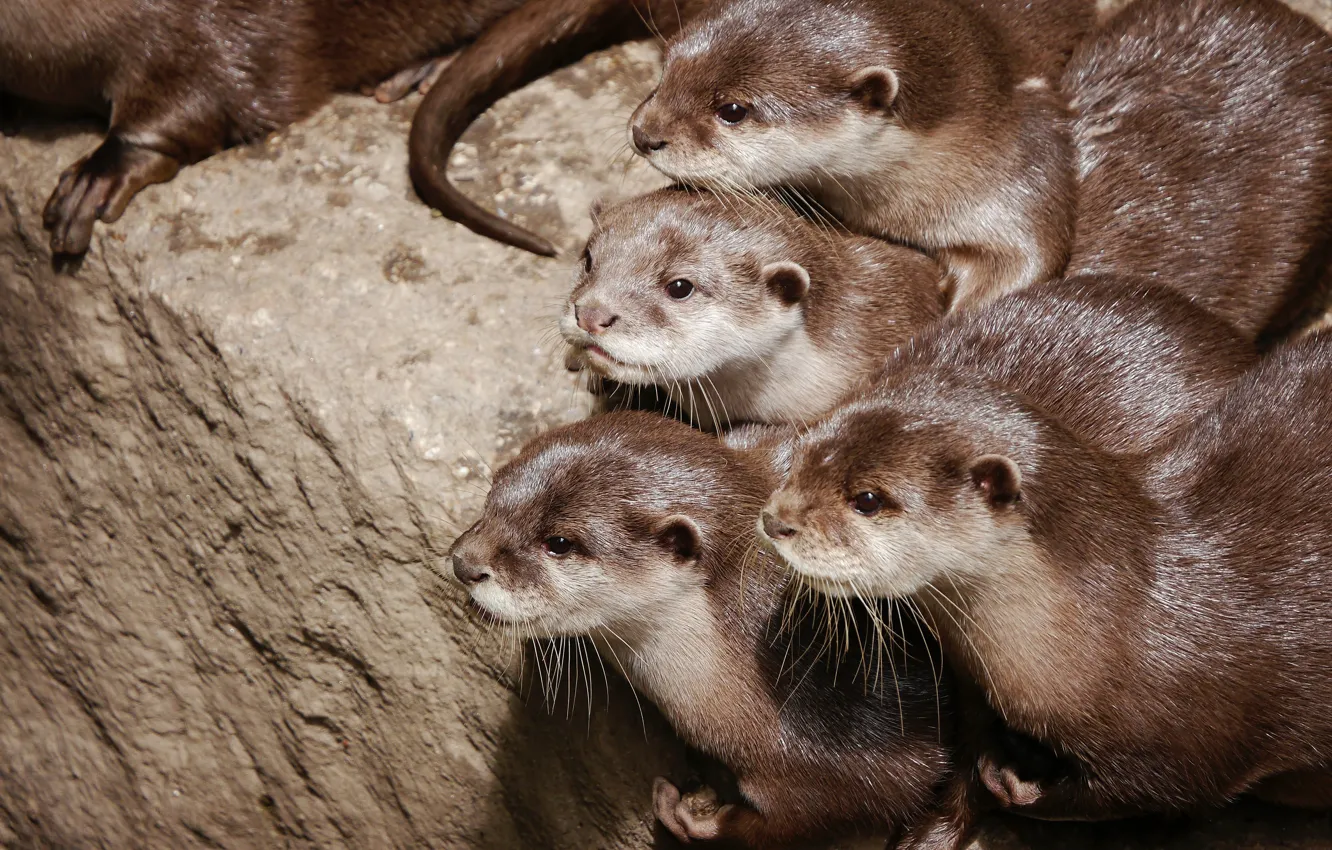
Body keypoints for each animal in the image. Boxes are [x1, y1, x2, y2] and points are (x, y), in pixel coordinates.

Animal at [448, 411, 965, 848]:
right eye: (493, 493)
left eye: (558, 542)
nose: (464, 563)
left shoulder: (854, 737)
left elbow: (836, 805)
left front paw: (695, 818)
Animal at [761, 329, 1332, 820]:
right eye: (804, 452)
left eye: (867, 499)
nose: (774, 520)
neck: (1122, 625)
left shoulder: (1183, 760)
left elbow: (1114, 798)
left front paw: (1014, 783)